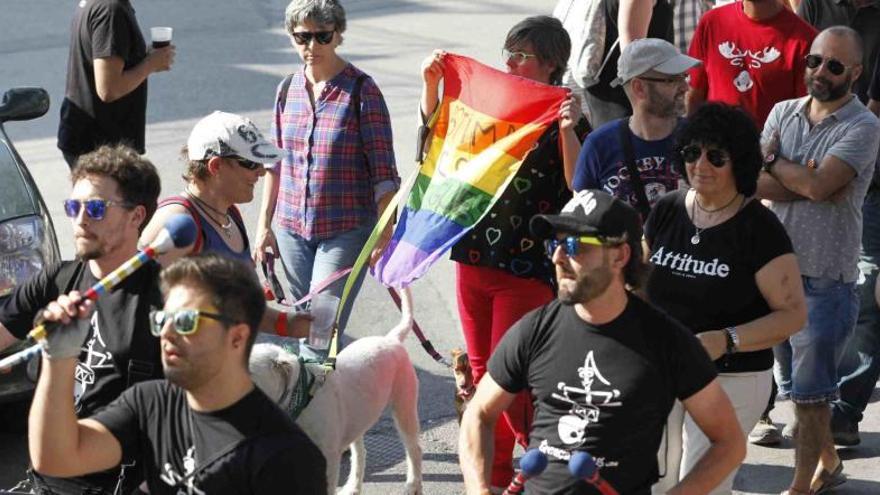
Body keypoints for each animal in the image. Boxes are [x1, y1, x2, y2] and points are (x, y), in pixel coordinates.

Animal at [249, 288, 424, 494]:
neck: (302, 397)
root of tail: (391, 339)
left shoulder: (328, 459)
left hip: (404, 407)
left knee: (414, 449)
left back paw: (413, 485)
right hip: (358, 416)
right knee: (360, 453)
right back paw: (353, 487)